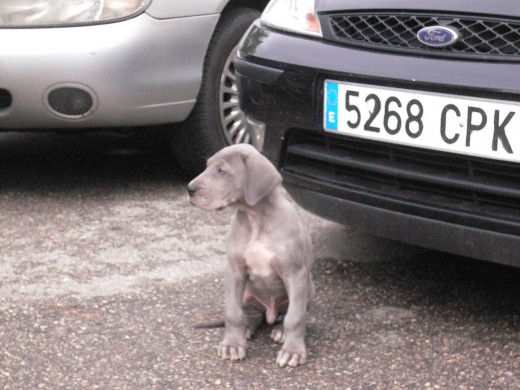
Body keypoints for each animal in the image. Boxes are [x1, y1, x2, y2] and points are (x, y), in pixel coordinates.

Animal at [189, 143, 314, 366]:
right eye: (207, 166)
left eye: (222, 171)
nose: (189, 189)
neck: (256, 219)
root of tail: (270, 313)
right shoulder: (234, 271)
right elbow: (232, 313)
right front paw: (232, 344)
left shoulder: (295, 273)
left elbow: (295, 317)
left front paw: (293, 351)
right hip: (248, 294)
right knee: (251, 315)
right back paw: (247, 327)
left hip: (308, 288)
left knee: (292, 314)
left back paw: (280, 330)